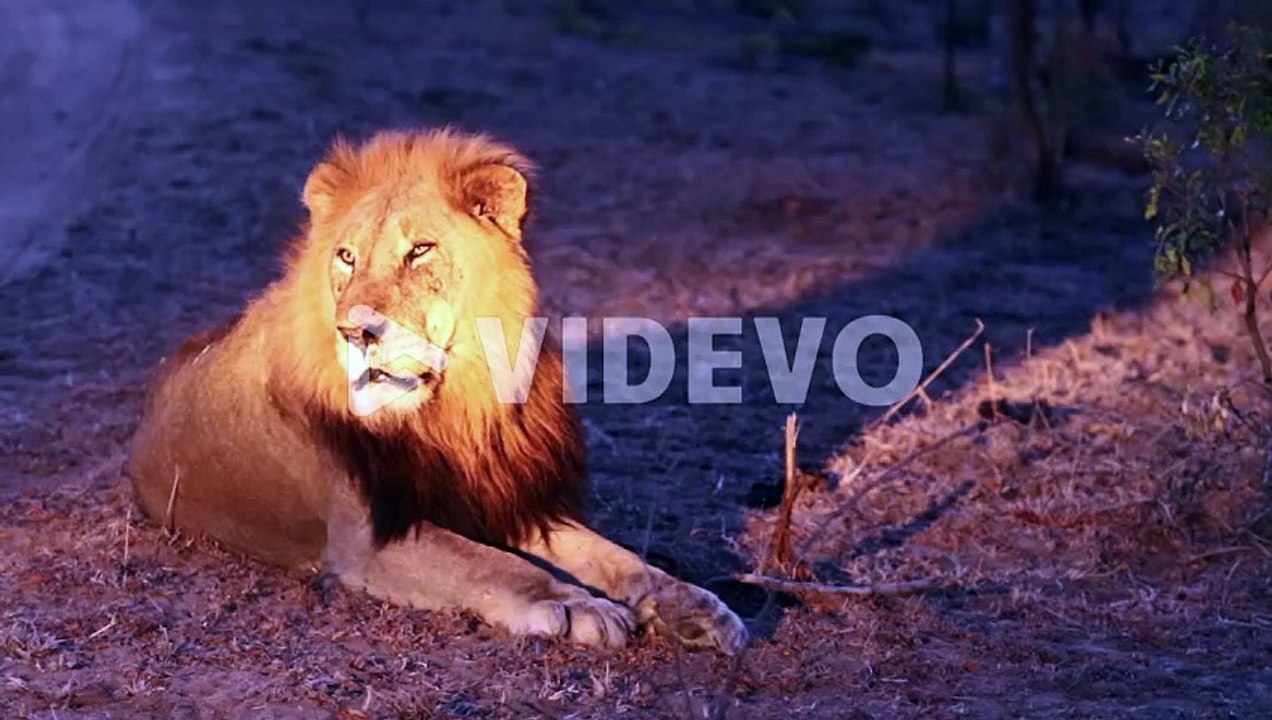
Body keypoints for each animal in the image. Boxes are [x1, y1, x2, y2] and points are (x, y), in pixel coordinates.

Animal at [126, 129, 747, 654]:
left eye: (420, 251)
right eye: (346, 257)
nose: (354, 332)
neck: (450, 409)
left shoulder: (504, 503)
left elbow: (617, 557)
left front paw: (696, 607)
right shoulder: (365, 537)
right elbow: (490, 565)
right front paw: (577, 606)